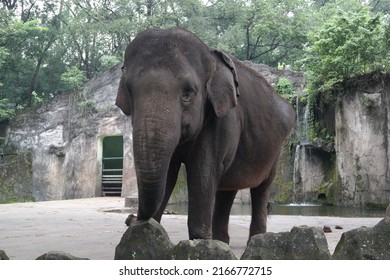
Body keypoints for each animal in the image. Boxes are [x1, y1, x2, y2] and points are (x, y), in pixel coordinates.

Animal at [116, 27, 296, 244]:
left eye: (188, 93)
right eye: (130, 91)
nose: (130, 218)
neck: (211, 59)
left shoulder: (222, 120)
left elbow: (202, 172)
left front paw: (198, 241)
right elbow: (169, 173)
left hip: (275, 150)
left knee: (262, 188)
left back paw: (256, 240)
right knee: (228, 189)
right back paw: (221, 242)